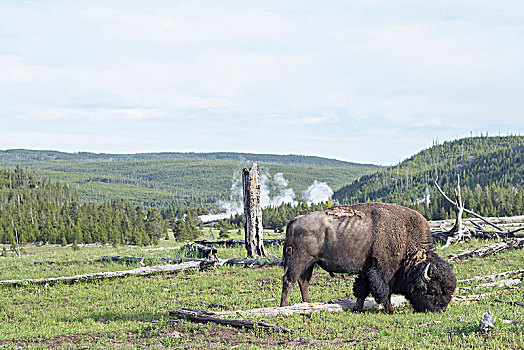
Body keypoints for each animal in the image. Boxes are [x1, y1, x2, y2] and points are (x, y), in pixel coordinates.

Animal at [280, 204, 456, 314]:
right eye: (433, 290)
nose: (441, 309)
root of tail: (295, 220)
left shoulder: (366, 270)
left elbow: (362, 290)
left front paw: (357, 308)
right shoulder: (383, 270)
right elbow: (384, 291)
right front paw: (391, 311)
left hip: (309, 263)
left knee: (303, 282)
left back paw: (306, 304)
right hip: (298, 261)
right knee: (289, 280)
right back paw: (283, 306)